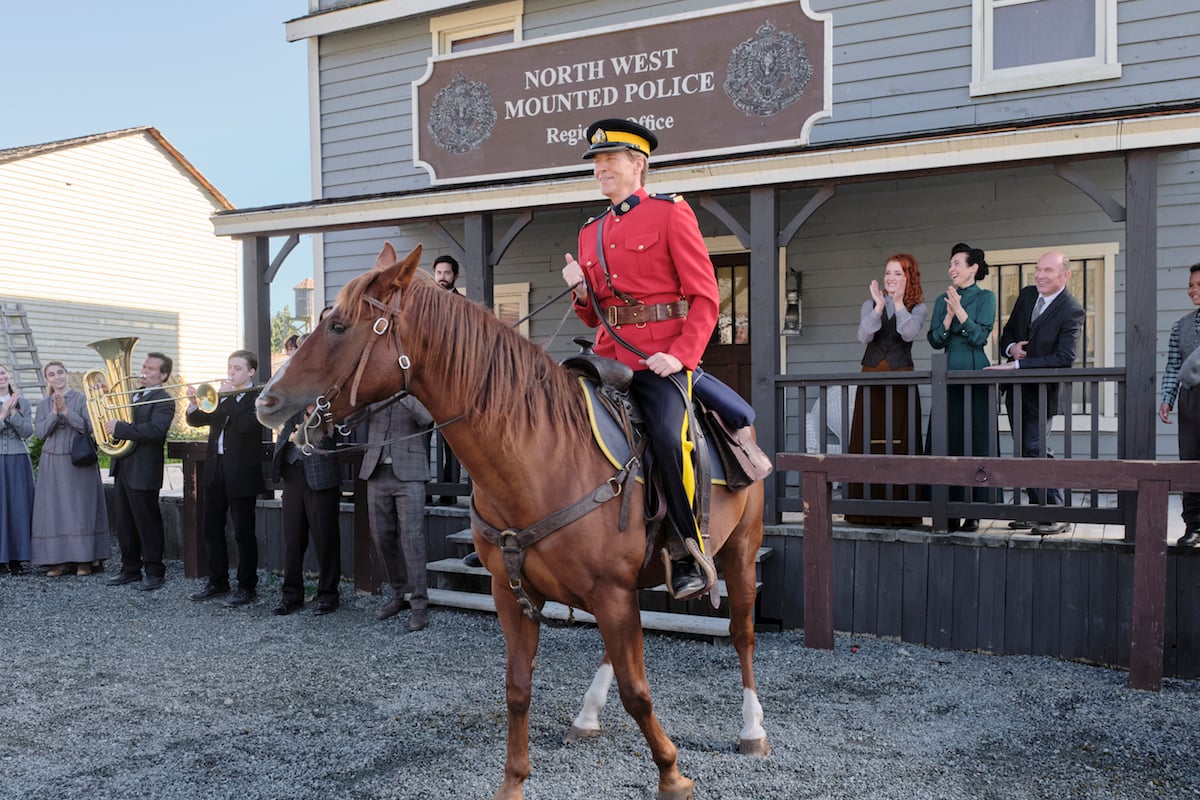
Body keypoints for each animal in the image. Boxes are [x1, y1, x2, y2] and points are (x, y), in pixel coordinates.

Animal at [258, 242, 772, 800]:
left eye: (339, 326)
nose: (266, 401)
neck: (539, 452)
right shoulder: (517, 594)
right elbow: (519, 688)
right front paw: (513, 782)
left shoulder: (611, 592)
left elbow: (638, 691)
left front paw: (671, 773)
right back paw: (588, 715)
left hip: (740, 550)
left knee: (743, 633)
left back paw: (752, 729)